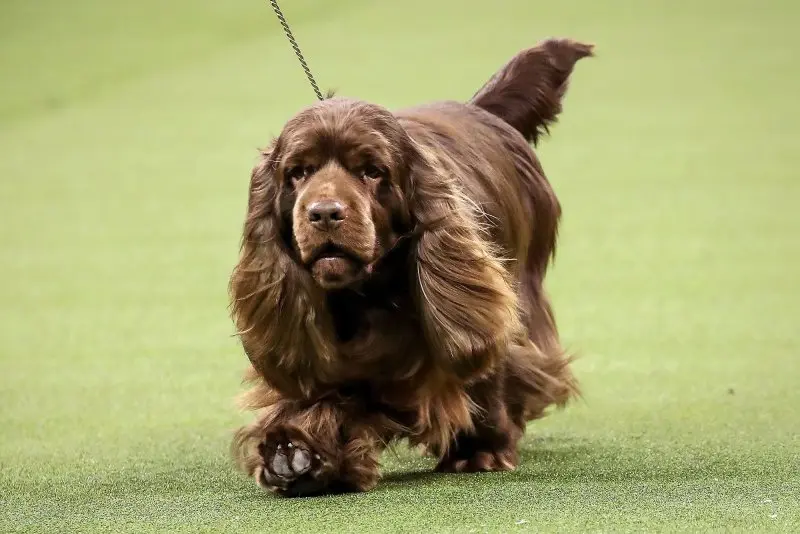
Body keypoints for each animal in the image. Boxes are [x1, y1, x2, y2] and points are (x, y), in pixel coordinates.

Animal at [228, 37, 592, 498]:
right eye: (298, 172)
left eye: (372, 171)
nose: (324, 213)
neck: (366, 294)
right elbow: (322, 392)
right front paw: (295, 452)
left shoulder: (478, 309)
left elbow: (486, 370)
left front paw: (480, 449)